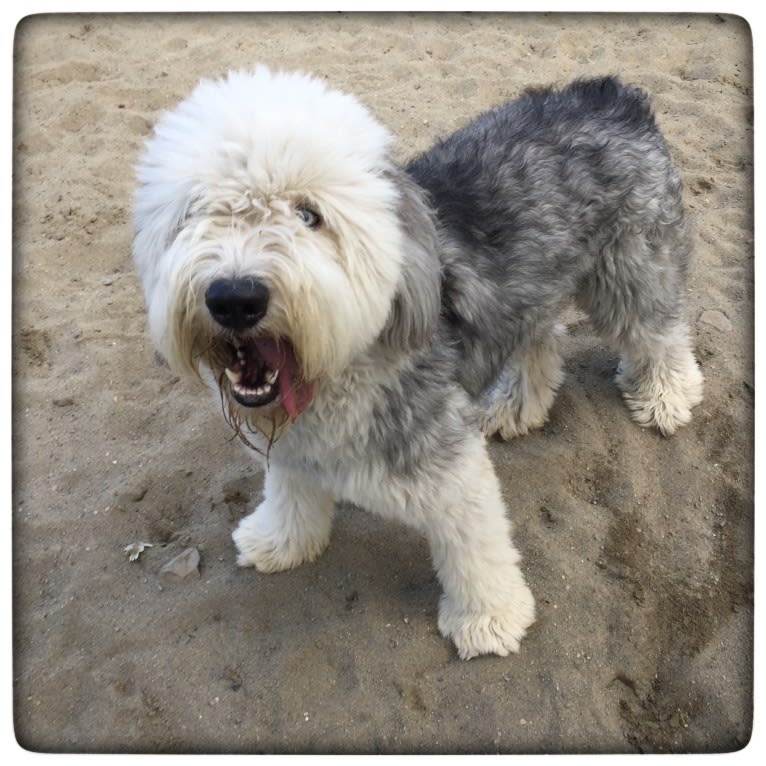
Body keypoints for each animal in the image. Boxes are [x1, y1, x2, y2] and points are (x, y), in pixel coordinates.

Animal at [132, 69, 704, 664]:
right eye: (197, 212)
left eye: (309, 215)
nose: (234, 298)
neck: (346, 367)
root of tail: (608, 92)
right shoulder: (293, 449)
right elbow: (290, 496)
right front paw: (279, 541)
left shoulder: (451, 468)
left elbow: (475, 549)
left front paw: (489, 618)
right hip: (534, 288)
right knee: (539, 338)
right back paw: (517, 404)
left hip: (631, 269)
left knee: (657, 331)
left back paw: (666, 395)